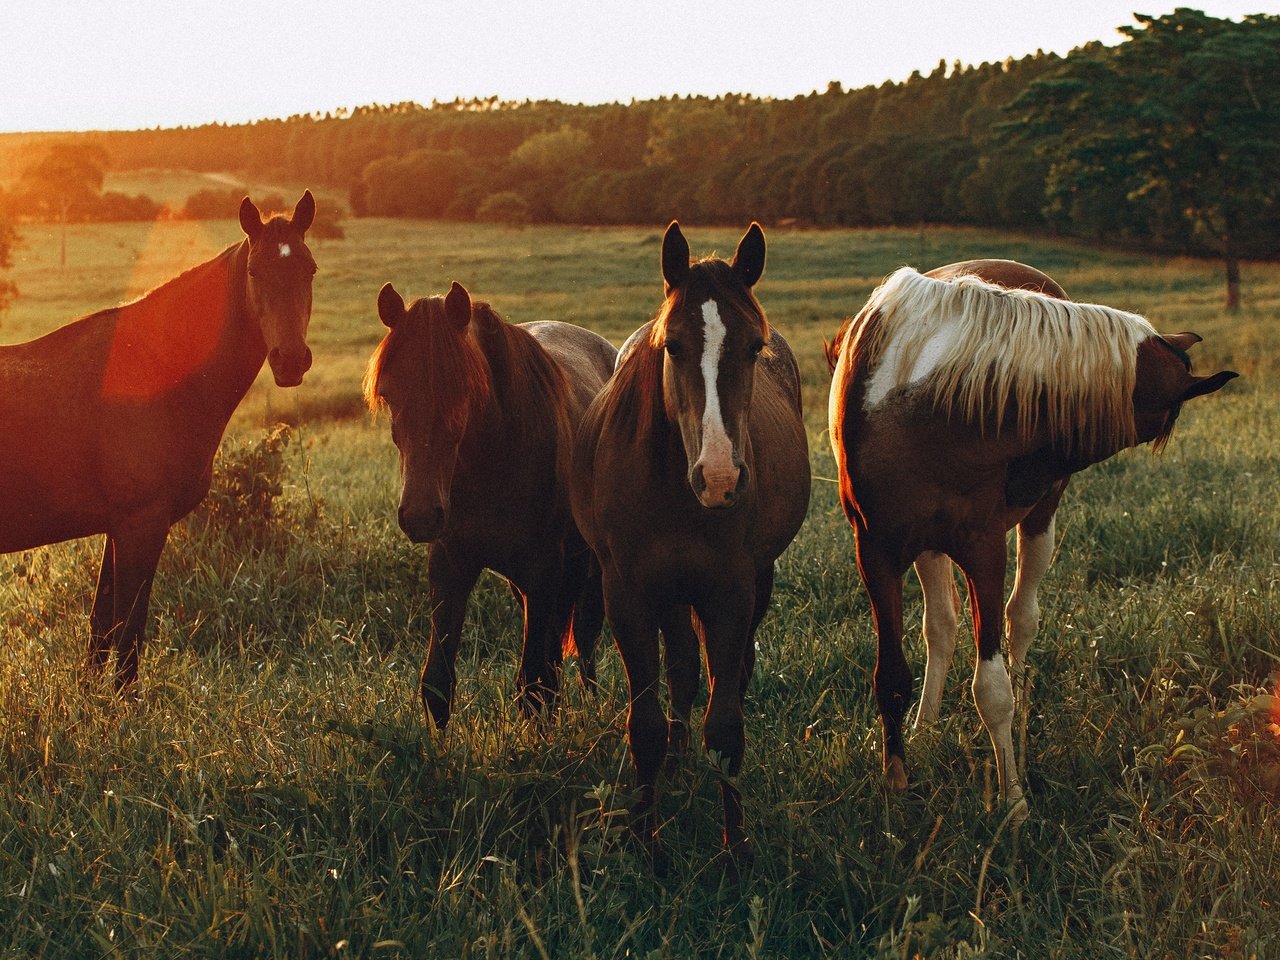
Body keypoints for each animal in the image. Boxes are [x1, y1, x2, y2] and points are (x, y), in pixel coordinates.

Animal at [0, 192, 318, 696]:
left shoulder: (117, 526)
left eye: (309, 269)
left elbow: (102, 626)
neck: (154, 370)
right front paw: (124, 704)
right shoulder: (142, 523)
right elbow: (129, 628)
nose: (290, 361)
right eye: (255, 271)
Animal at [363, 277, 616, 727]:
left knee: (584, 643)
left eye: (463, 389)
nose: (420, 516)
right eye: (389, 394)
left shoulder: (544, 567)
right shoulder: (451, 564)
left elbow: (534, 685)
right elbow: (438, 684)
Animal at [573, 221, 808, 870]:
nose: (721, 478)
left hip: (753, 582)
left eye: (753, 347)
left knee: (730, 672)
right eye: (673, 346)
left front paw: (737, 847)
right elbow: (647, 724)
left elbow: (726, 727)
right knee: (679, 668)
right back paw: (676, 765)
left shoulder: (730, 593)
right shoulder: (628, 596)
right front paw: (645, 841)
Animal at [829, 257, 1239, 819]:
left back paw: (1020, 719)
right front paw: (896, 785)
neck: (920, 398)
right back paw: (928, 724)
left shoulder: (984, 550)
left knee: (1020, 620)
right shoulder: (877, 552)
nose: (1040, 470)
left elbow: (992, 687)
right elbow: (890, 676)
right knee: (942, 626)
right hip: (928, 545)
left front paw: (1013, 798)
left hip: (1036, 523)